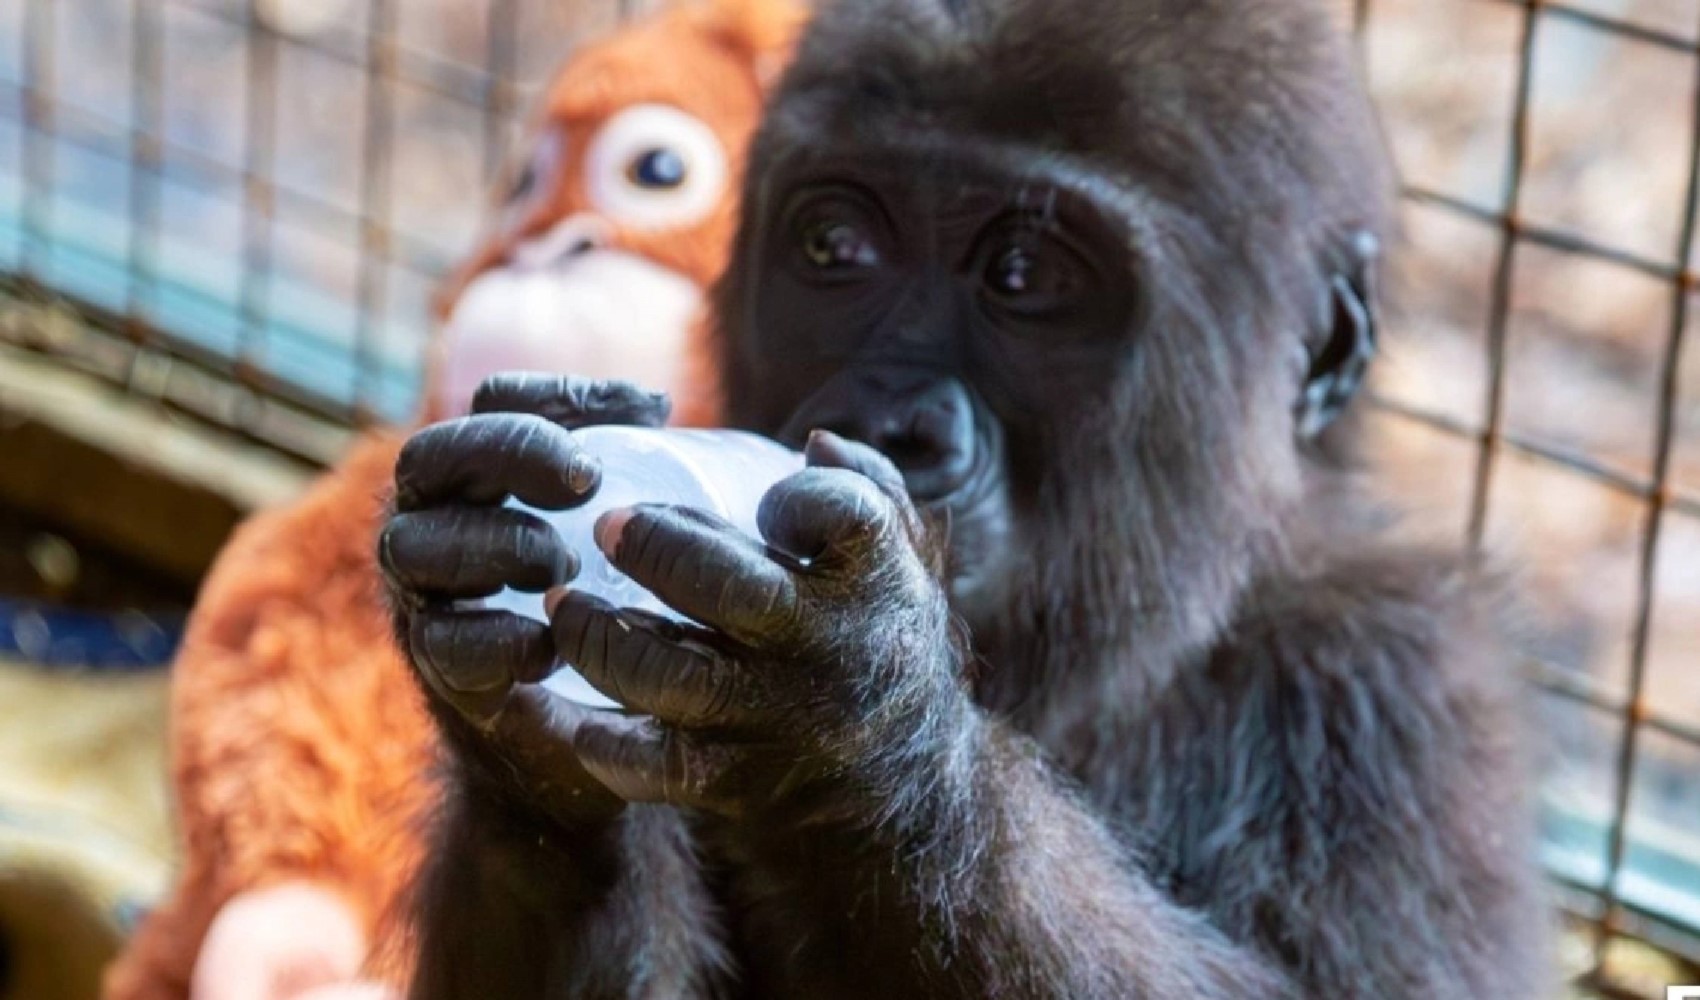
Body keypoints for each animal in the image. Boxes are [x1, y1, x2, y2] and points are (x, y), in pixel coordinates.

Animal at [379, 1, 1550, 1000]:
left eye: (1024, 278)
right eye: (835, 249)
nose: (893, 420)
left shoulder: (1399, 687)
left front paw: (860, 730)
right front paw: (516, 758)